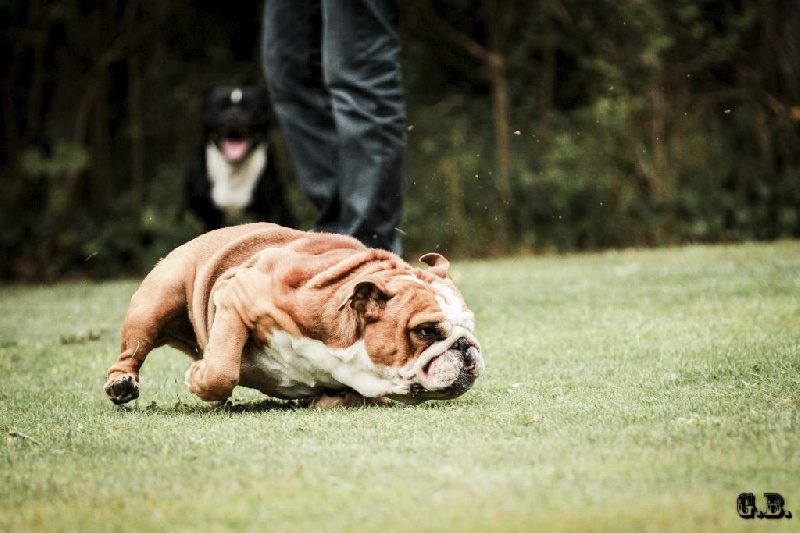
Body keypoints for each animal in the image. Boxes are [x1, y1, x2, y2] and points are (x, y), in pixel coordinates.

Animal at [187, 86, 294, 230]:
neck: (234, 171)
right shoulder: (209, 214)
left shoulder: (271, 206)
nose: (234, 114)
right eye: (220, 107)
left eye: (250, 108)